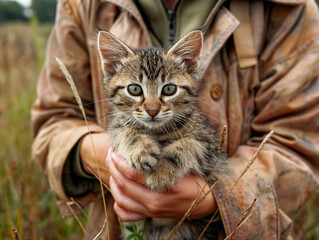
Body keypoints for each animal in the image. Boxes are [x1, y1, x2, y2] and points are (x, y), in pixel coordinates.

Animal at [97, 30, 225, 240]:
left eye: (169, 89)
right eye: (134, 89)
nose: (152, 111)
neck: (156, 131)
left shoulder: (213, 150)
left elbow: (190, 144)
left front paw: (162, 171)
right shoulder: (117, 126)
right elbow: (125, 131)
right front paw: (141, 149)